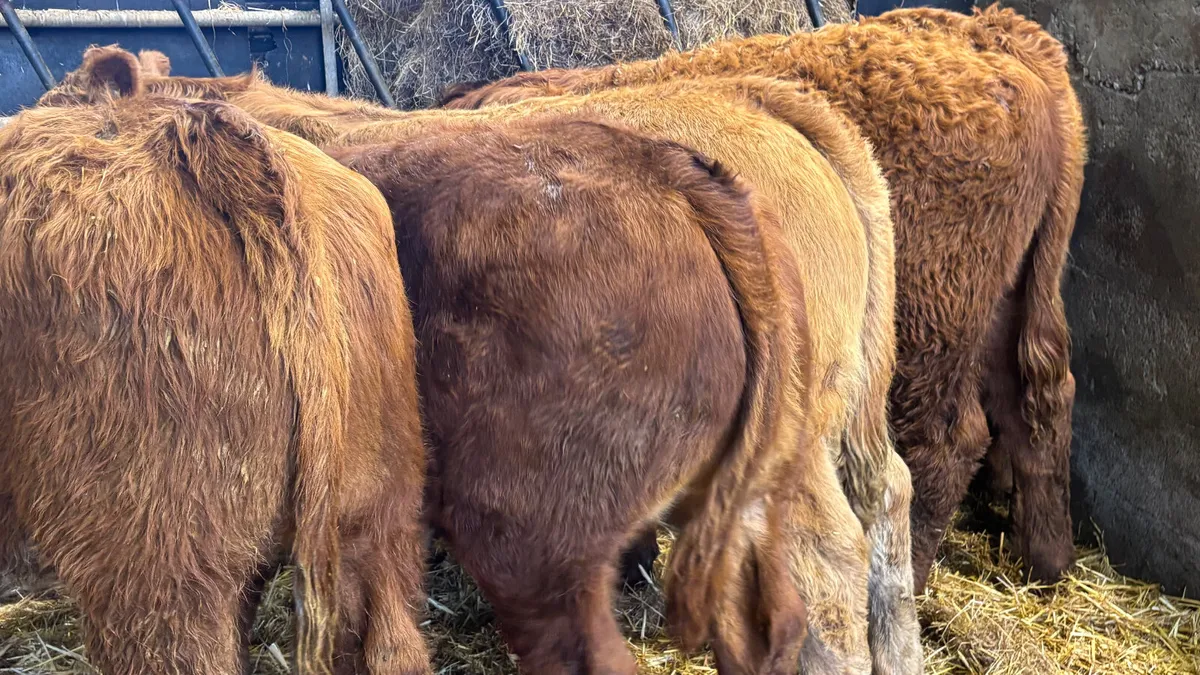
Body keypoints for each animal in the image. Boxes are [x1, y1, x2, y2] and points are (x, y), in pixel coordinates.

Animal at [441, 3, 1088, 592]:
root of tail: (989, 34)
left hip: (934, 319)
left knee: (944, 443)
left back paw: (915, 580)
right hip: (1008, 303)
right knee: (1040, 401)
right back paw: (1048, 560)